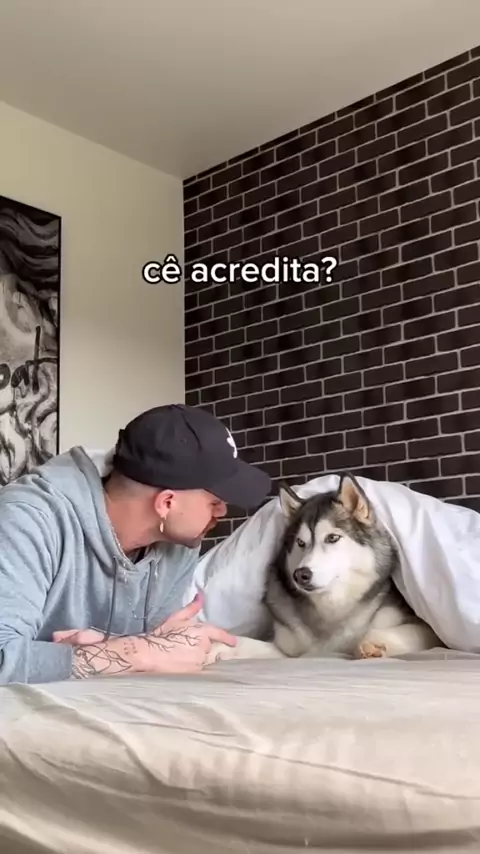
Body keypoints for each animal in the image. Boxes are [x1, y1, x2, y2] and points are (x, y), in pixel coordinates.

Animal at [208, 473, 441, 664]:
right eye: (301, 543)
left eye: (332, 538)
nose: (300, 574)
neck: (332, 611)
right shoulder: (290, 650)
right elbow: (251, 644)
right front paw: (220, 646)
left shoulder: (426, 629)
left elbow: (388, 633)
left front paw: (370, 644)